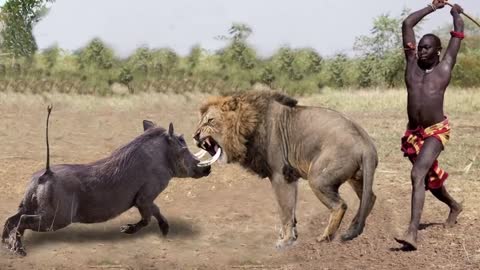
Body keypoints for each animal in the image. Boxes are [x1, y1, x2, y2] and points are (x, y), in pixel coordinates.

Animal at [193, 90, 376, 247]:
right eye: (200, 121)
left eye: (210, 120)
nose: (195, 136)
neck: (248, 127)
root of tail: (366, 143)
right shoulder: (291, 176)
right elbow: (291, 211)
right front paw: (290, 236)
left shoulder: (280, 176)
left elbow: (285, 210)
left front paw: (285, 241)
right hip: (356, 178)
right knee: (370, 198)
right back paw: (353, 229)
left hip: (318, 178)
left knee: (340, 205)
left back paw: (325, 237)